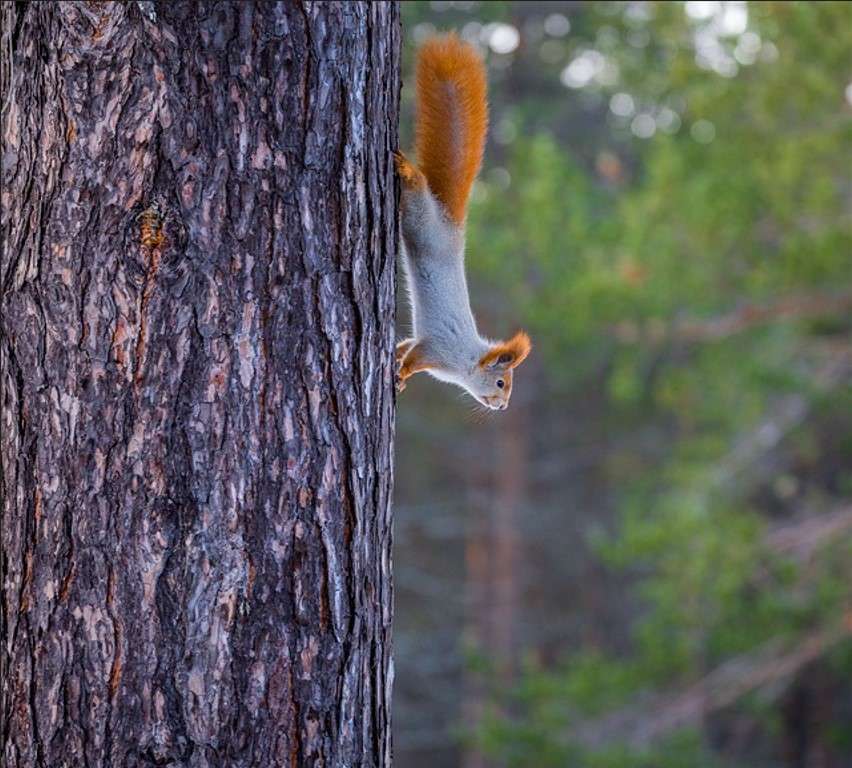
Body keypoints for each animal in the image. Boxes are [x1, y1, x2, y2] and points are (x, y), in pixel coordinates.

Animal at [394, 33, 528, 412]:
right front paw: (401, 374)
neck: (467, 360)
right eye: (501, 382)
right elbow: (414, 357)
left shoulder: (425, 344)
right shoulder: (437, 348)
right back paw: (405, 167)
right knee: (417, 186)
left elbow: (405, 346)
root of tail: (451, 226)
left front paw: (395, 361)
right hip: (422, 217)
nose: (503, 407)